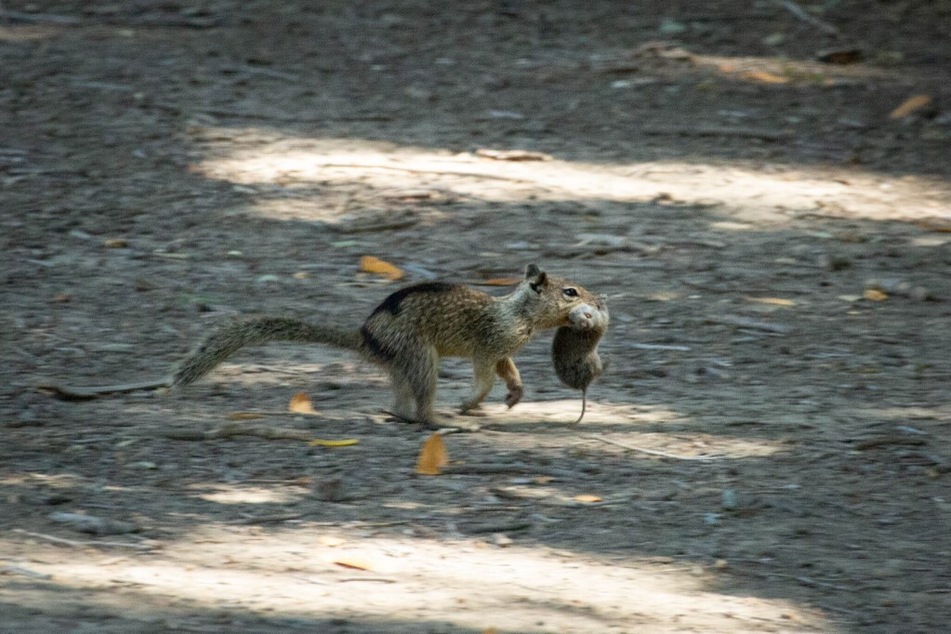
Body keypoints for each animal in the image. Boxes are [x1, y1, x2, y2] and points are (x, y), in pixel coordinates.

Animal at [50, 263, 597, 425]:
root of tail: (365, 337)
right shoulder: (489, 345)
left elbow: (509, 371)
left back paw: (402, 414)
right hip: (421, 357)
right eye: (570, 292)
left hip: (406, 363)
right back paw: (442, 420)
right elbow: (485, 373)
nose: (595, 300)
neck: (519, 314)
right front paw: (473, 403)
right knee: (419, 404)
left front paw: (515, 395)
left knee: (399, 401)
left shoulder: (505, 349)